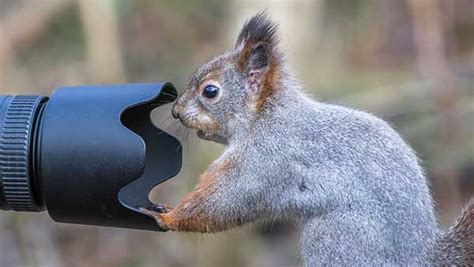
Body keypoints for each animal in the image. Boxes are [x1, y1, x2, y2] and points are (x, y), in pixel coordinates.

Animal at [142, 13, 474, 267]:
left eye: (210, 91)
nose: (175, 111)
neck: (265, 117)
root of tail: (422, 257)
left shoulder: (264, 159)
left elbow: (224, 201)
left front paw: (168, 217)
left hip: (335, 238)